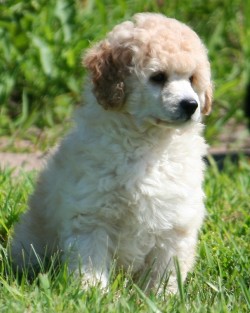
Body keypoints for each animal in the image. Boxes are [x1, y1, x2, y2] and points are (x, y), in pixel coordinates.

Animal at [10, 12, 213, 292]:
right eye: (158, 77)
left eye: (192, 79)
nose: (191, 105)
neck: (149, 143)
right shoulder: (92, 214)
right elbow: (91, 259)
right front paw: (92, 292)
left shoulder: (176, 220)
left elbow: (167, 268)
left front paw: (164, 296)